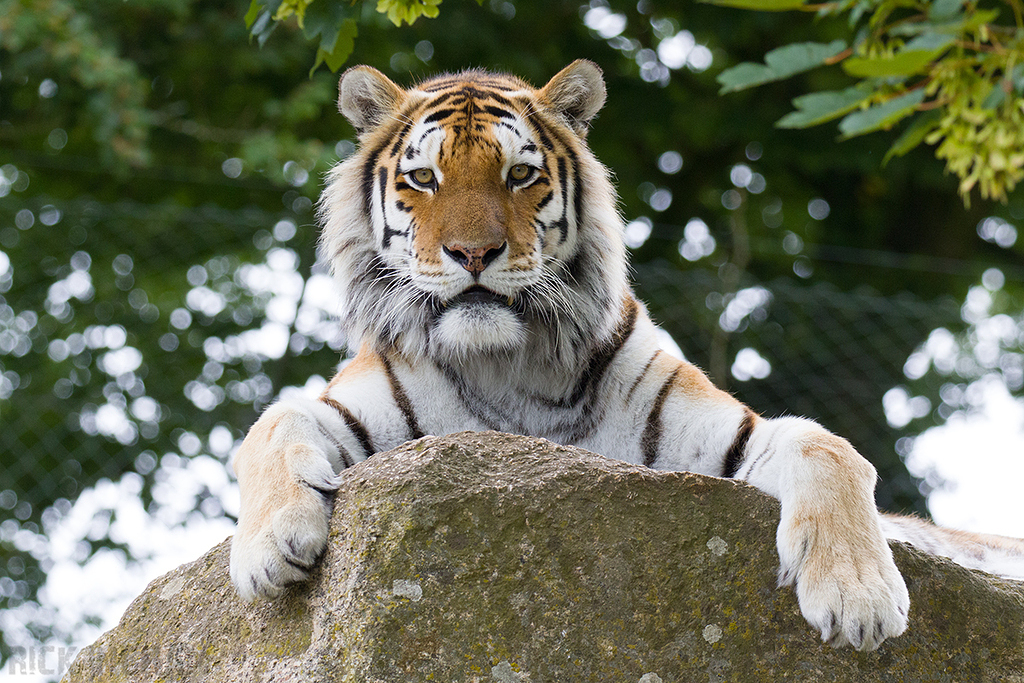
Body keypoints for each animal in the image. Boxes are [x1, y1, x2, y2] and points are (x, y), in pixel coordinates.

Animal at [230, 62, 1024, 651]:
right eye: (423, 178)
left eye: (520, 175)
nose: (474, 254)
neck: (508, 360)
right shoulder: (356, 411)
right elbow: (269, 425)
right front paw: (268, 549)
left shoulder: (720, 440)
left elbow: (826, 446)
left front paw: (859, 594)